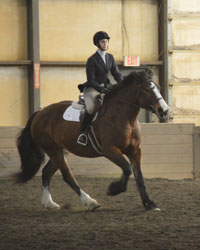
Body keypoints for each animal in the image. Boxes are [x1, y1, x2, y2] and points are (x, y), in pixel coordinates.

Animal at [14, 69, 169, 212]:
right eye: (147, 89)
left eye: (159, 88)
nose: (165, 110)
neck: (125, 119)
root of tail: (39, 113)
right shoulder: (109, 150)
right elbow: (127, 168)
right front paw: (114, 189)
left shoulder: (135, 151)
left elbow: (139, 177)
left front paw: (149, 203)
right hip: (53, 149)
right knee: (67, 175)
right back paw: (90, 202)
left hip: (60, 150)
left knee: (47, 172)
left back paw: (49, 203)